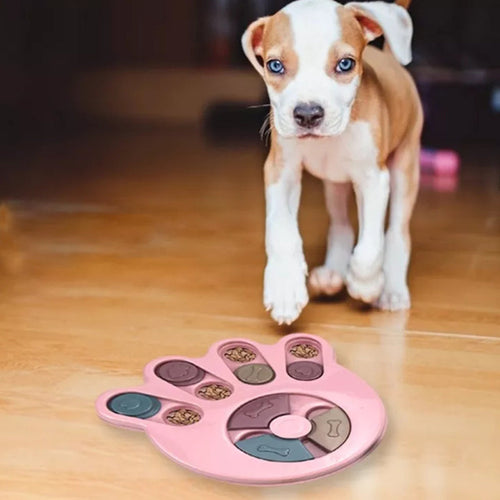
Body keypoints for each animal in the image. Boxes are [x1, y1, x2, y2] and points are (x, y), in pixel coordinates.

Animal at [242, 0, 422, 324]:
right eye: (275, 65)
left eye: (345, 64)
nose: (307, 114)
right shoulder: (281, 171)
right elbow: (281, 231)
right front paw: (284, 286)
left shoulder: (374, 179)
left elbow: (370, 247)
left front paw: (366, 284)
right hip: (334, 184)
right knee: (341, 226)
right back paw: (331, 276)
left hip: (406, 165)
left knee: (396, 232)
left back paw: (390, 290)